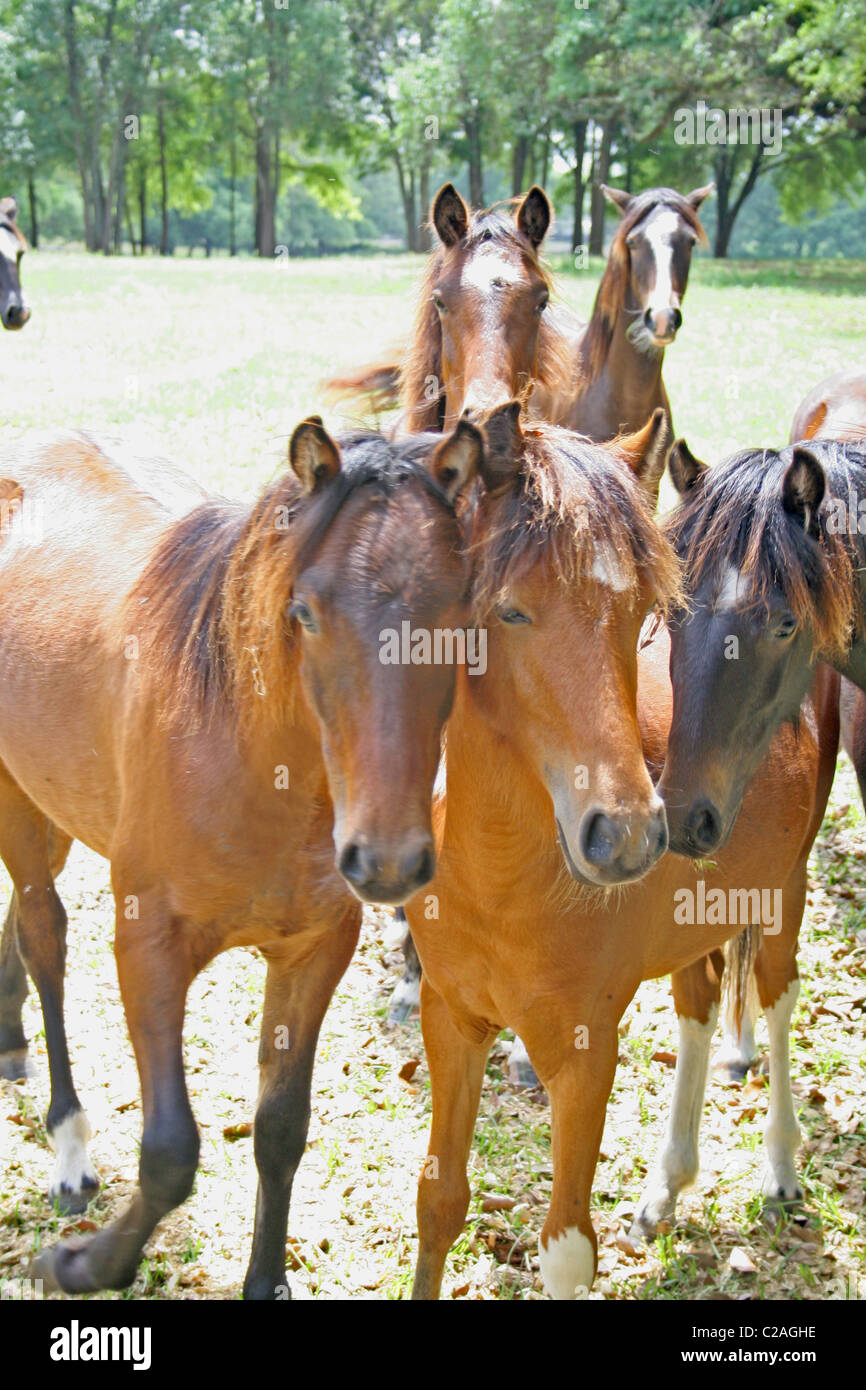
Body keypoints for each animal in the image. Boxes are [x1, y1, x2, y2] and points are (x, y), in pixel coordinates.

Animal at [0, 417, 497, 1295]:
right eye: (305, 611)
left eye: (461, 615)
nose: (388, 861)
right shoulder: (149, 947)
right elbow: (171, 1150)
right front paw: (85, 1263)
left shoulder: (312, 953)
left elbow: (280, 1130)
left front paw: (264, 1279)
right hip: (22, 811)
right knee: (43, 936)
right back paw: (69, 1144)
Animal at [403, 405, 839, 1301]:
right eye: (508, 610)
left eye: (642, 608)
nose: (632, 834)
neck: (501, 878)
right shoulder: (452, 1019)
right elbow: (440, 1202)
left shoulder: (584, 1052)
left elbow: (567, 1246)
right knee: (700, 1007)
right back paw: (668, 1185)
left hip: (784, 891)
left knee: (776, 999)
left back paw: (780, 1168)